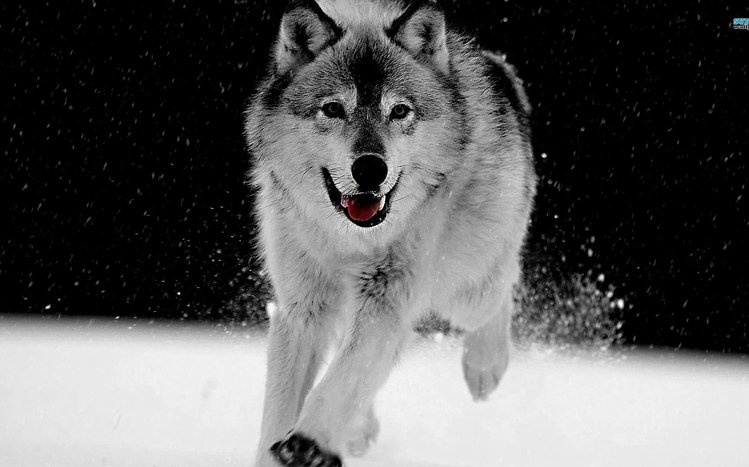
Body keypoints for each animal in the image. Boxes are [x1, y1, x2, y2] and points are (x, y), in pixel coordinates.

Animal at [245, 0, 536, 465]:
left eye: (399, 111)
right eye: (333, 109)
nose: (370, 168)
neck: (350, 240)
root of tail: (499, 67)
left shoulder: (389, 296)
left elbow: (344, 378)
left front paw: (308, 441)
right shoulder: (302, 308)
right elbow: (283, 404)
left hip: (464, 288)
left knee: (502, 285)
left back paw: (484, 367)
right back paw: (359, 431)